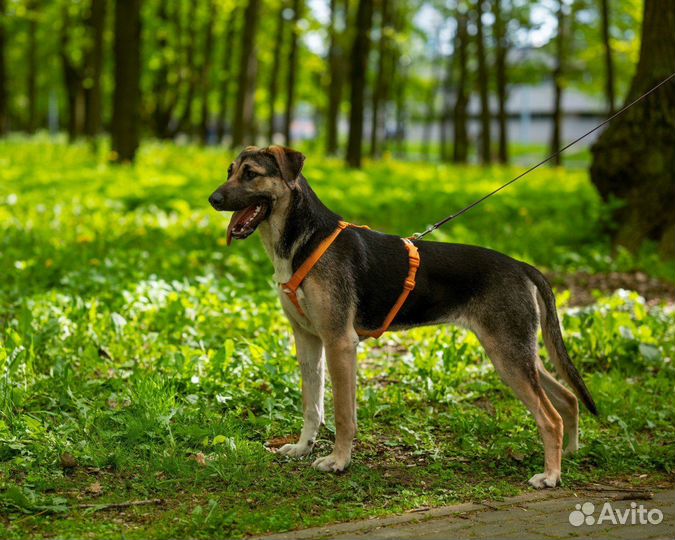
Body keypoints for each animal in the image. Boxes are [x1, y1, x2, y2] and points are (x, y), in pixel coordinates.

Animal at [209, 146, 600, 488]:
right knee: (568, 399)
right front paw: (303, 448)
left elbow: (343, 415)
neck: (303, 238)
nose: (212, 200)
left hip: (508, 355)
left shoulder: (339, 344)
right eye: (229, 171)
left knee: (550, 417)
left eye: (251, 174)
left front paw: (338, 462)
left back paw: (550, 476)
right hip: (519, 353)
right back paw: (570, 456)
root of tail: (520, 266)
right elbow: (312, 406)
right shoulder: (308, 340)